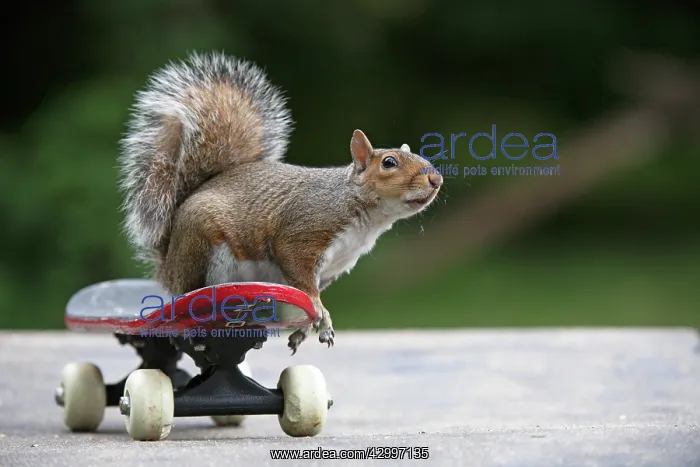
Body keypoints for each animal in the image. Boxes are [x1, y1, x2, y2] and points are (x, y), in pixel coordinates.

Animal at [118, 52, 443, 354]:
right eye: (389, 162)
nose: (436, 179)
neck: (361, 214)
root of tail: (168, 265)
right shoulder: (302, 233)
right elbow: (305, 285)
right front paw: (321, 315)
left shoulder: (333, 267)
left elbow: (303, 297)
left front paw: (305, 328)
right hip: (206, 248)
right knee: (201, 295)